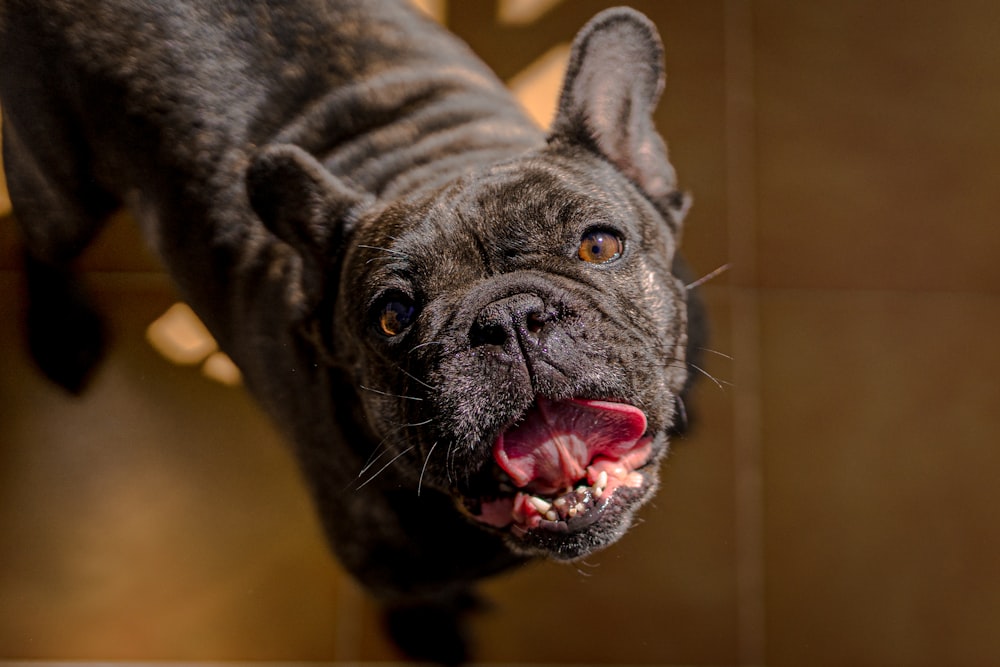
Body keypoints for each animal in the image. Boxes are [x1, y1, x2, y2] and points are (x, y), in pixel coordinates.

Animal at [0, 0, 704, 664]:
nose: (508, 319)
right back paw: (63, 333)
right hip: (61, 194)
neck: (427, 157)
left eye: (599, 246)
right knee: (42, 242)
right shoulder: (391, 572)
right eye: (392, 316)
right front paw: (431, 632)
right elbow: (421, 600)